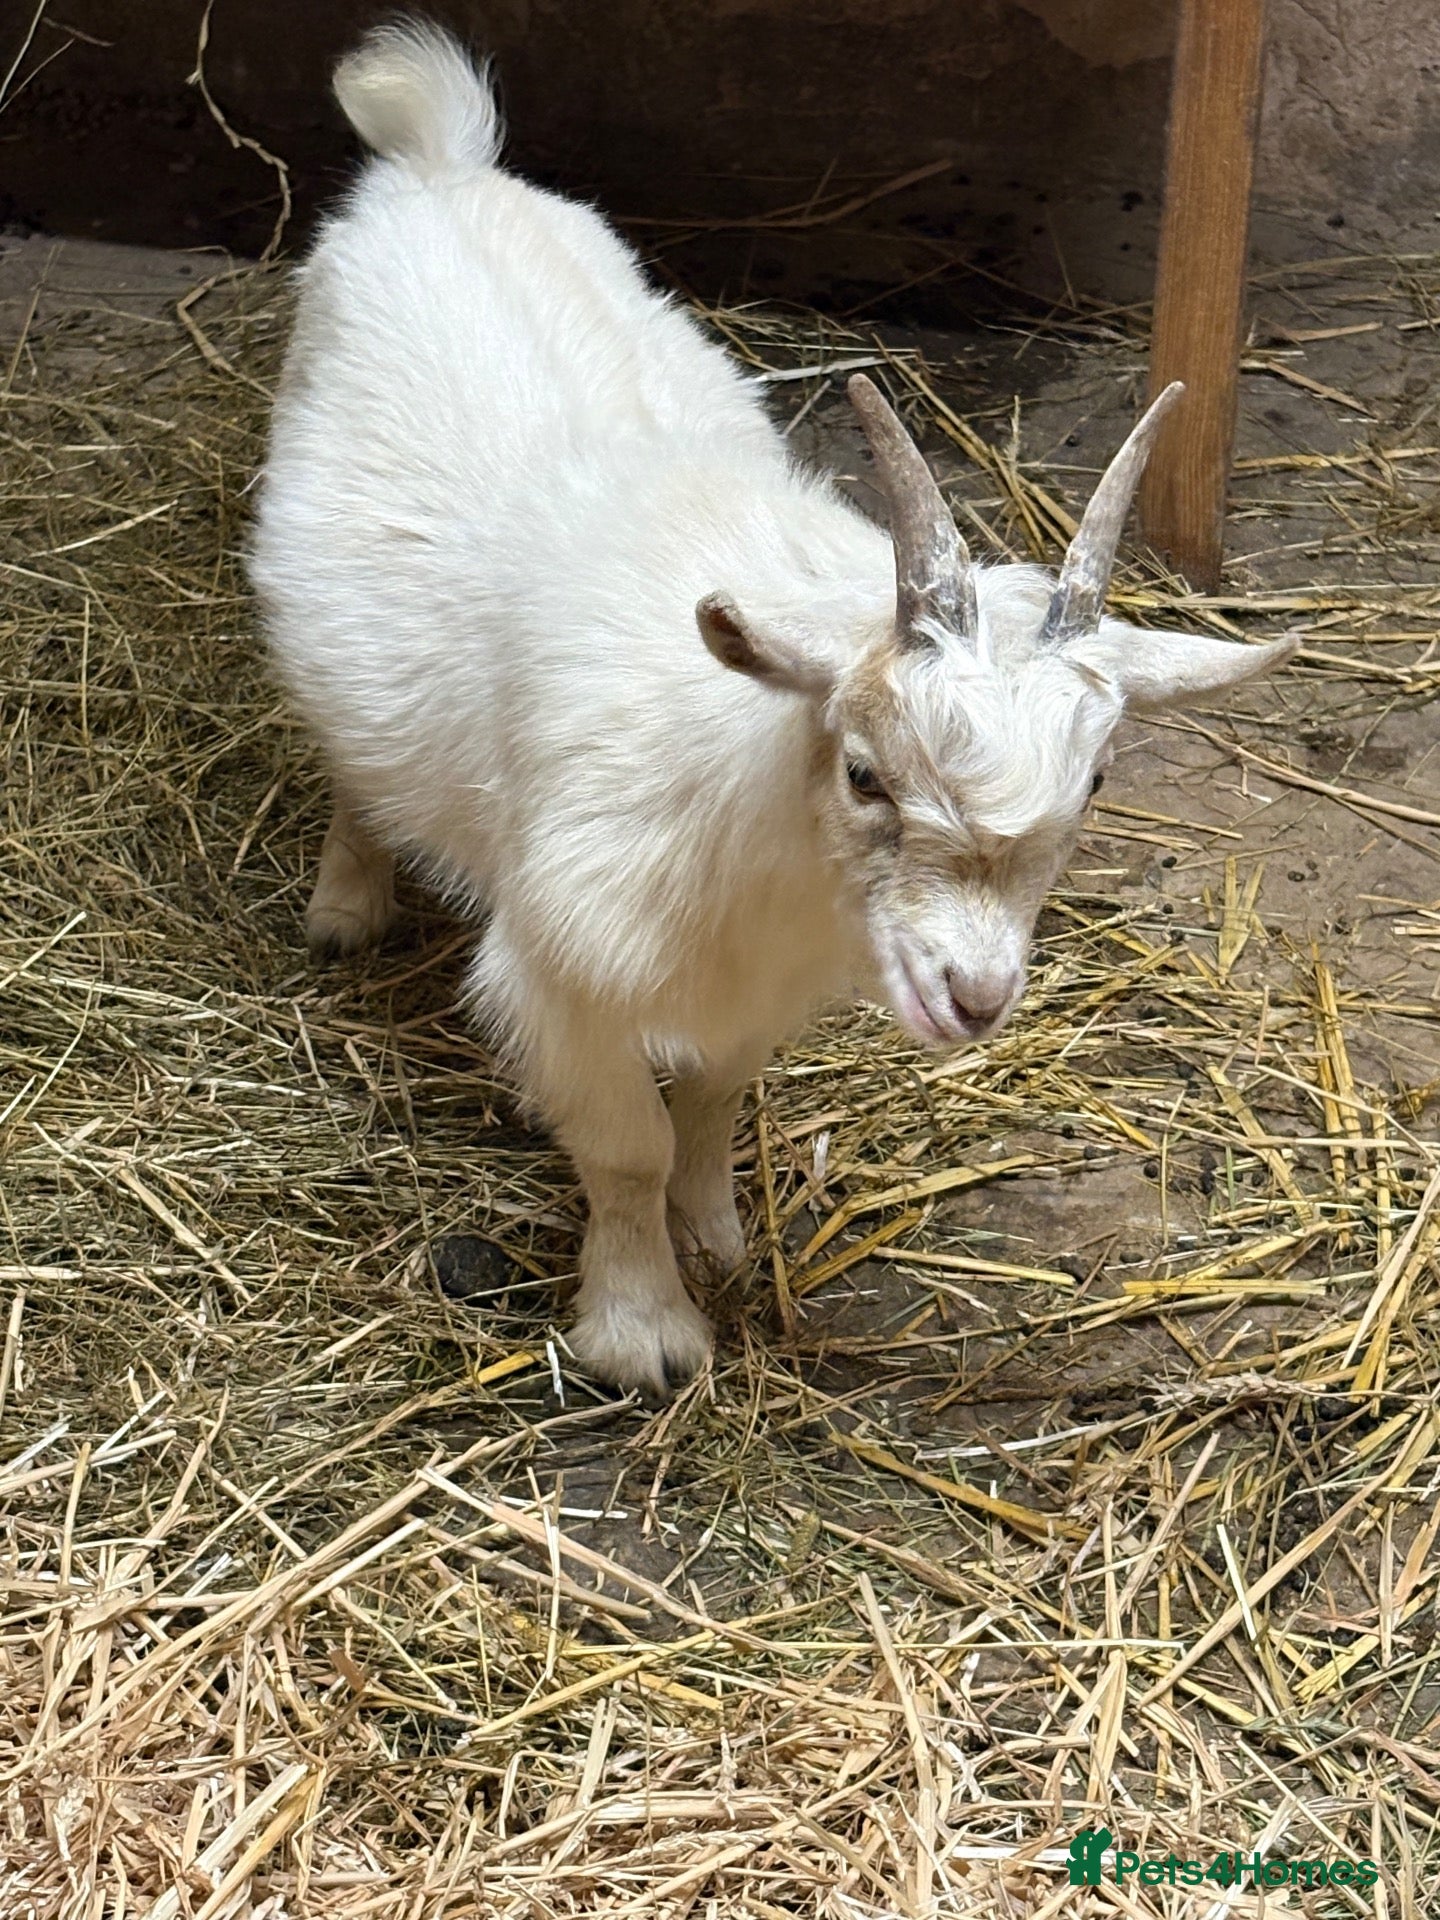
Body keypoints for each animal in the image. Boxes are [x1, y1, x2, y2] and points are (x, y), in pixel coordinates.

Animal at [250, 22, 1295, 1397]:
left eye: (1101, 783)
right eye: (863, 772)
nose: (975, 997)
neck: (758, 837)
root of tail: (439, 164)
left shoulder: (754, 990)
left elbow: (707, 1109)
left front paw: (717, 1236)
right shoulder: (565, 966)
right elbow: (627, 1147)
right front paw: (642, 1329)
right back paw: (347, 904)